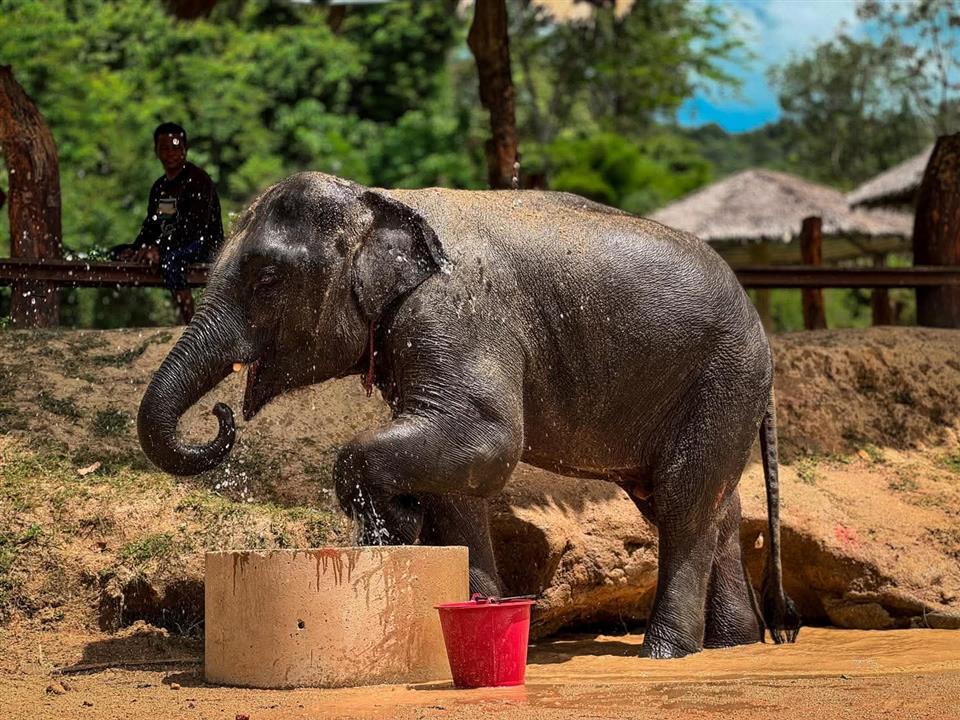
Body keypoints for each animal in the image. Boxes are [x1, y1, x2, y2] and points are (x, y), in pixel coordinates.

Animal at [137, 172, 801, 659]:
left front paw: (391, 520)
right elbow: (457, 480)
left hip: (723, 375)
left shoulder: (454, 313)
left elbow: (487, 439)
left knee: (684, 499)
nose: (221, 414)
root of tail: (760, 326)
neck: (380, 199)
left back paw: (665, 653)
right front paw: (469, 603)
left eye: (269, 277)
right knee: (701, 502)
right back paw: (734, 644)